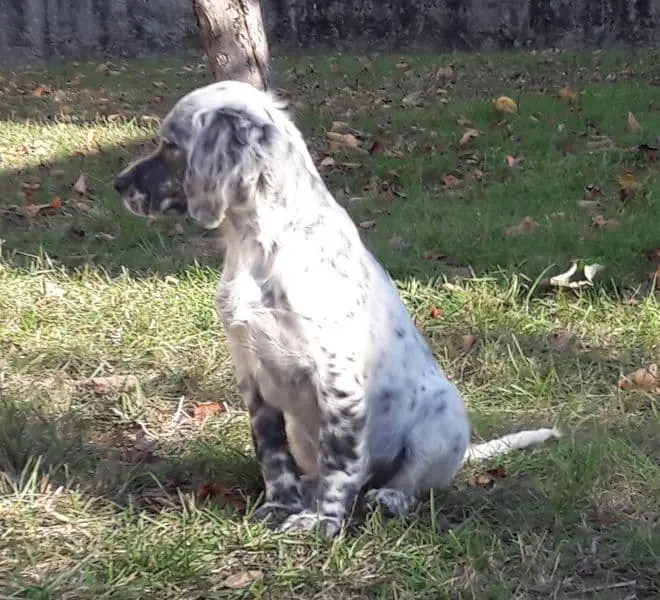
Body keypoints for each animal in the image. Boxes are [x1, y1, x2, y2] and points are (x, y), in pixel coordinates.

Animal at [115, 80, 562, 537]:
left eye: (171, 145)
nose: (118, 184)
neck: (258, 244)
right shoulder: (250, 372)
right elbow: (271, 453)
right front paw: (281, 505)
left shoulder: (335, 375)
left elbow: (341, 459)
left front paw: (322, 521)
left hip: (442, 417)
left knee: (411, 482)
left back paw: (389, 497)